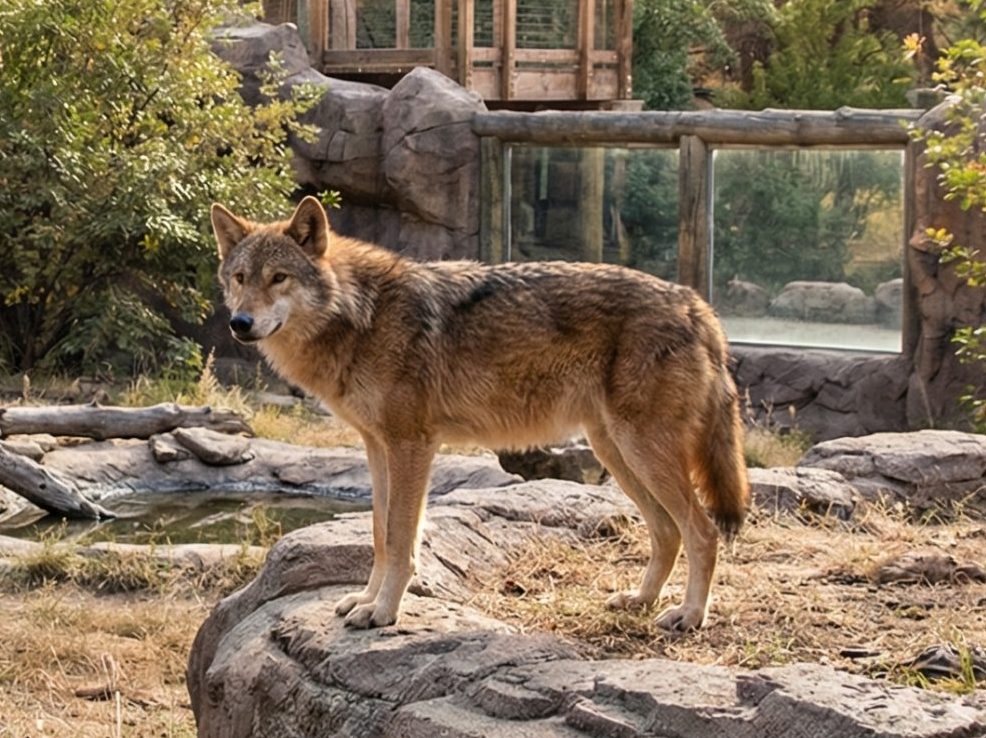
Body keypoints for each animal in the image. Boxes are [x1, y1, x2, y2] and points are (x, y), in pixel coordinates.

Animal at [211, 196, 749, 632]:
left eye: (278, 278)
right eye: (240, 278)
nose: (239, 323)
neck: (363, 315)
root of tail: (698, 306)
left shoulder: (411, 445)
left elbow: (401, 537)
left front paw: (383, 612)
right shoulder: (376, 446)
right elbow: (380, 533)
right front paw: (365, 600)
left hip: (640, 450)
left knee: (702, 531)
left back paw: (688, 616)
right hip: (615, 451)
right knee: (667, 531)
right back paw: (640, 600)